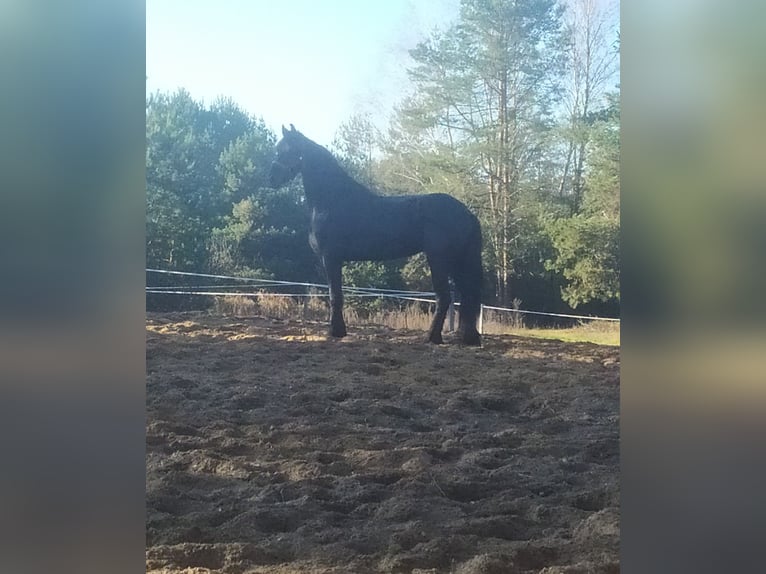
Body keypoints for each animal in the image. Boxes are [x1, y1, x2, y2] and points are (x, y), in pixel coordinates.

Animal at [270, 125, 484, 346]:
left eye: (287, 151)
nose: (272, 179)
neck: (333, 200)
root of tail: (467, 213)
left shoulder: (330, 258)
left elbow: (335, 295)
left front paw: (336, 331)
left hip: (440, 259)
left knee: (445, 297)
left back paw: (432, 337)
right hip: (458, 261)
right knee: (467, 295)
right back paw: (468, 337)